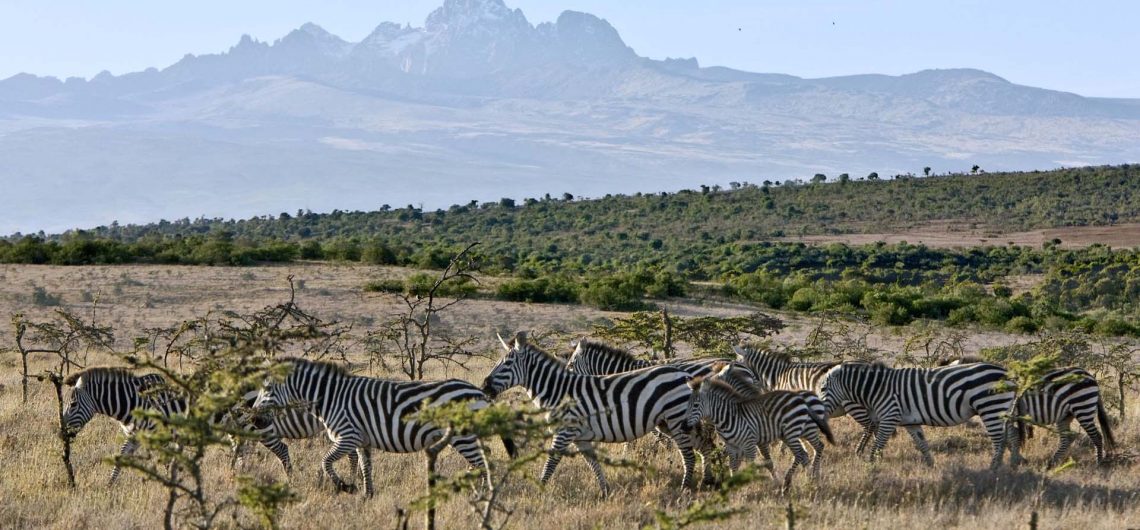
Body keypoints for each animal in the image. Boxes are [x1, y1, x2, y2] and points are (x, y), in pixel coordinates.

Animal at [254, 355, 517, 496]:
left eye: (268, 389)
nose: (254, 420)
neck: (330, 397)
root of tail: (480, 392)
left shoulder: (347, 436)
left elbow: (325, 462)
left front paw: (345, 487)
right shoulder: (361, 440)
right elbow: (365, 467)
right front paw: (367, 495)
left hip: (463, 435)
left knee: (483, 462)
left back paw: (484, 492)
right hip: (468, 435)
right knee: (485, 457)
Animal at [481, 330, 702, 492]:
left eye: (506, 363)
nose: (484, 386)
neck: (558, 392)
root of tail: (683, 373)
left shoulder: (564, 432)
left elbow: (551, 463)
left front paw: (539, 491)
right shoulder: (580, 437)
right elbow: (593, 464)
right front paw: (605, 491)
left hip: (676, 419)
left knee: (689, 456)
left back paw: (684, 489)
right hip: (668, 422)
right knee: (697, 448)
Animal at [684, 364, 839, 492]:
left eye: (696, 405)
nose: (686, 427)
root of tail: (810, 396)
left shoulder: (754, 442)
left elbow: (763, 462)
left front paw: (759, 483)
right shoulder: (734, 445)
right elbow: (734, 465)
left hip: (803, 431)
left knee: (812, 449)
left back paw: (801, 478)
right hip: (794, 433)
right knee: (807, 453)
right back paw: (810, 477)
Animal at [820, 360, 1026, 467]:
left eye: (822, 388)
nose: (819, 412)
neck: (877, 388)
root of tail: (1007, 371)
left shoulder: (889, 417)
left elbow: (877, 446)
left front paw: (870, 467)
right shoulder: (910, 421)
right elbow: (921, 443)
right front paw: (931, 466)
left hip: (990, 406)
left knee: (999, 440)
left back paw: (994, 469)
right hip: (1002, 408)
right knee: (1012, 434)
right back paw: (1013, 465)